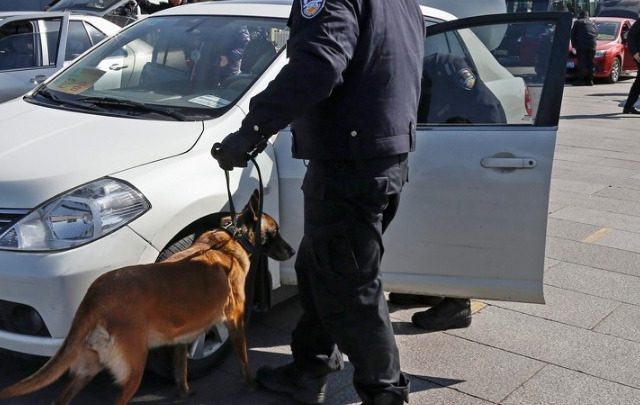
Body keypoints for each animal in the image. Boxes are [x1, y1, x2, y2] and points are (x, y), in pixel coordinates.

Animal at [0, 190, 296, 404]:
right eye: (275, 232)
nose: (293, 251)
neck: (228, 240)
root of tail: (95, 297)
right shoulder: (235, 321)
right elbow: (244, 359)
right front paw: (251, 384)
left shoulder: (183, 338)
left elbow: (181, 370)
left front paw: (185, 392)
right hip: (133, 369)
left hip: (87, 368)